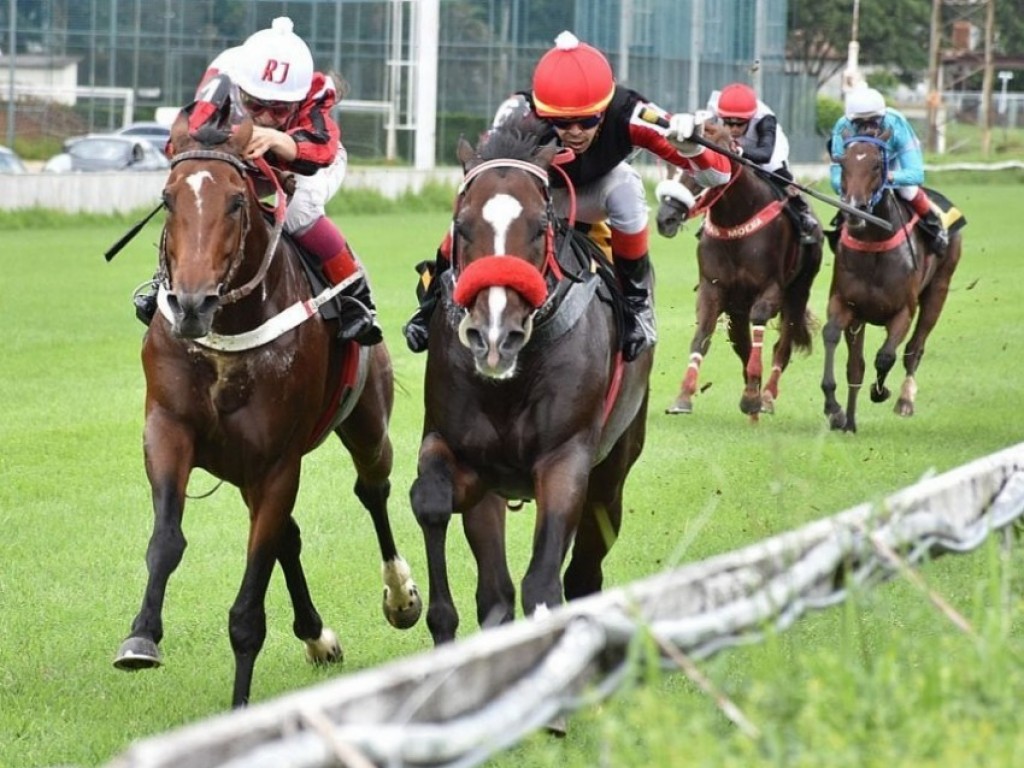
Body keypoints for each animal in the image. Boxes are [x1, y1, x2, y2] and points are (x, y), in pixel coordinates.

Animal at [116, 109, 423, 708]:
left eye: (237, 201)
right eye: (167, 198)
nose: (192, 303)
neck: (225, 338)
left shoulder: (278, 463)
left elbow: (247, 612)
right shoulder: (168, 429)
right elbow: (166, 540)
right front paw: (141, 637)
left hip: (367, 425)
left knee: (372, 491)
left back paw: (399, 596)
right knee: (289, 535)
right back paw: (317, 635)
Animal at [407, 118, 647, 651]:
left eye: (539, 227)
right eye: (461, 226)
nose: (495, 335)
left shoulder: (566, 457)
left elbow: (544, 581)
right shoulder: (460, 452)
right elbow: (430, 502)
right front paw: (439, 621)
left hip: (613, 472)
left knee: (583, 572)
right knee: (495, 590)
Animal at [655, 123, 823, 421]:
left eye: (699, 171)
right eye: (670, 166)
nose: (665, 219)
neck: (735, 220)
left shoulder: (771, 289)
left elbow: (761, 323)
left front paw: (753, 397)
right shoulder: (713, 288)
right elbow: (702, 336)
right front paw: (684, 396)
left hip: (797, 293)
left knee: (783, 345)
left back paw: (765, 396)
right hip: (737, 309)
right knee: (743, 345)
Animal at [823, 132, 958, 434]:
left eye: (876, 165)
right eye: (843, 163)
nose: (855, 210)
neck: (874, 245)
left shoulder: (902, 312)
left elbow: (885, 356)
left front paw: (880, 391)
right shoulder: (847, 306)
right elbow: (835, 340)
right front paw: (836, 410)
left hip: (939, 289)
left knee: (913, 349)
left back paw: (905, 400)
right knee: (857, 366)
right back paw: (850, 421)